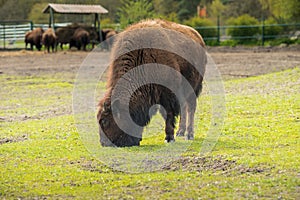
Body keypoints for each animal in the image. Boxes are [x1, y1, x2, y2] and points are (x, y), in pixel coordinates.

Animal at [97, 18, 207, 147]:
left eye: (104, 121)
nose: (104, 143)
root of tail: (197, 36)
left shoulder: (168, 94)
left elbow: (168, 114)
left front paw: (169, 138)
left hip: (193, 88)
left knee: (190, 107)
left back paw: (189, 134)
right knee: (184, 107)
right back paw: (180, 132)